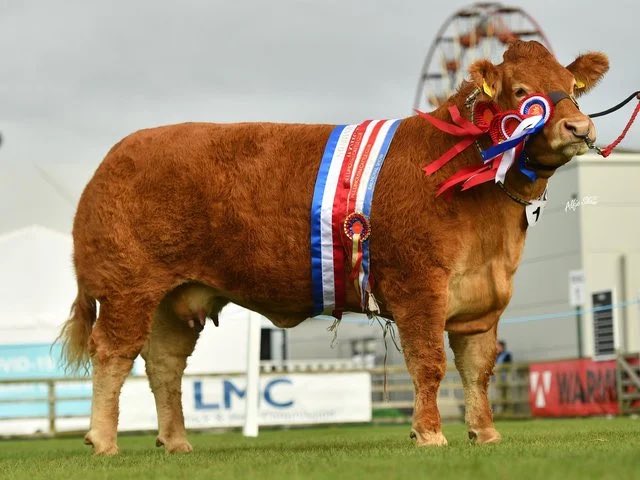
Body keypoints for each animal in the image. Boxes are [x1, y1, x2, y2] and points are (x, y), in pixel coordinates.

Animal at [59, 41, 608, 454]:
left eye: (572, 88)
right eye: (522, 92)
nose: (580, 128)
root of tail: (115, 156)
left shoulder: (483, 298)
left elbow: (477, 368)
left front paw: (486, 433)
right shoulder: (419, 286)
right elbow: (429, 362)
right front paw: (429, 434)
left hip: (174, 299)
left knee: (165, 365)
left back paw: (175, 443)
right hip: (128, 287)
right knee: (113, 354)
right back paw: (103, 441)